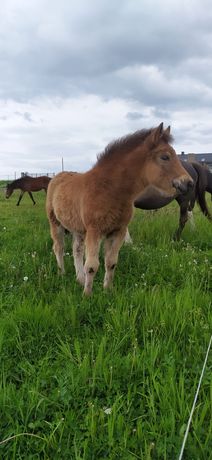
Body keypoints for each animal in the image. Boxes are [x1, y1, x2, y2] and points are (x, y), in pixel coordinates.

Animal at [46, 122, 194, 294]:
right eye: (165, 157)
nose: (189, 183)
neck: (110, 190)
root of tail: (56, 177)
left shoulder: (118, 231)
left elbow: (111, 262)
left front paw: (107, 291)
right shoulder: (94, 231)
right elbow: (91, 265)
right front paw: (87, 295)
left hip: (78, 228)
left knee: (77, 250)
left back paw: (80, 279)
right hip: (55, 222)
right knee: (59, 247)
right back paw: (62, 273)